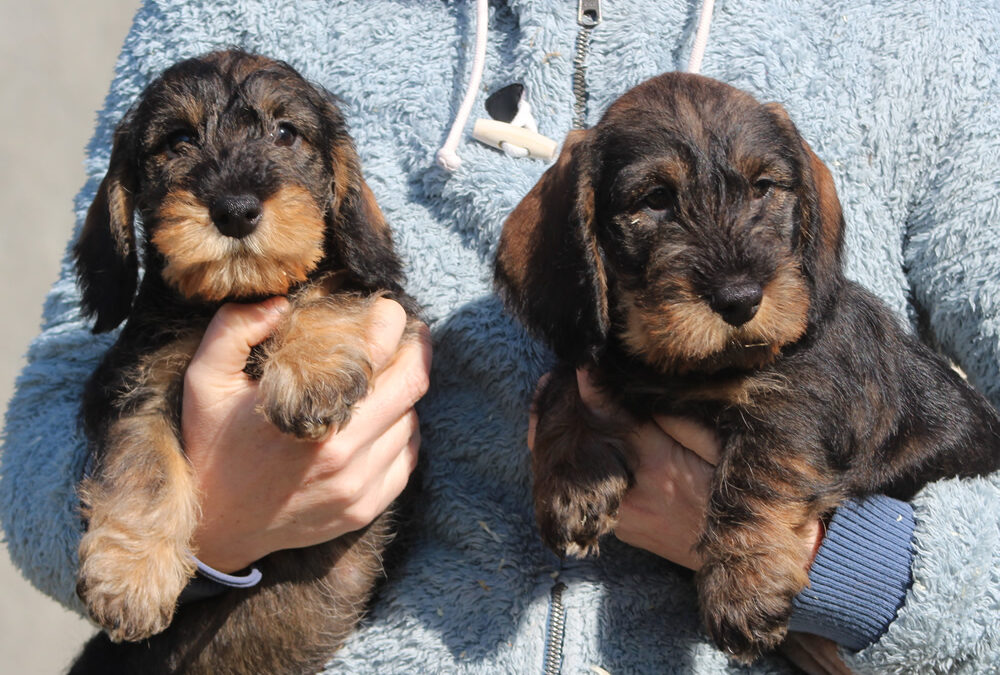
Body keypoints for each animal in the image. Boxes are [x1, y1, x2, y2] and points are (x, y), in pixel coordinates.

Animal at [69, 51, 414, 675]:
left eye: (286, 133)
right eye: (179, 140)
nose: (234, 210)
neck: (233, 297)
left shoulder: (399, 317)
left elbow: (330, 287)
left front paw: (312, 372)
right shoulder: (135, 383)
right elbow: (145, 463)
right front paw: (131, 577)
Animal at [496, 72, 1000, 660]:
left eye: (764, 187)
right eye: (655, 199)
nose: (739, 299)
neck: (686, 368)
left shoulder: (795, 404)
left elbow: (754, 478)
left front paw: (743, 585)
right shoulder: (603, 360)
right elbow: (565, 382)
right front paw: (573, 480)